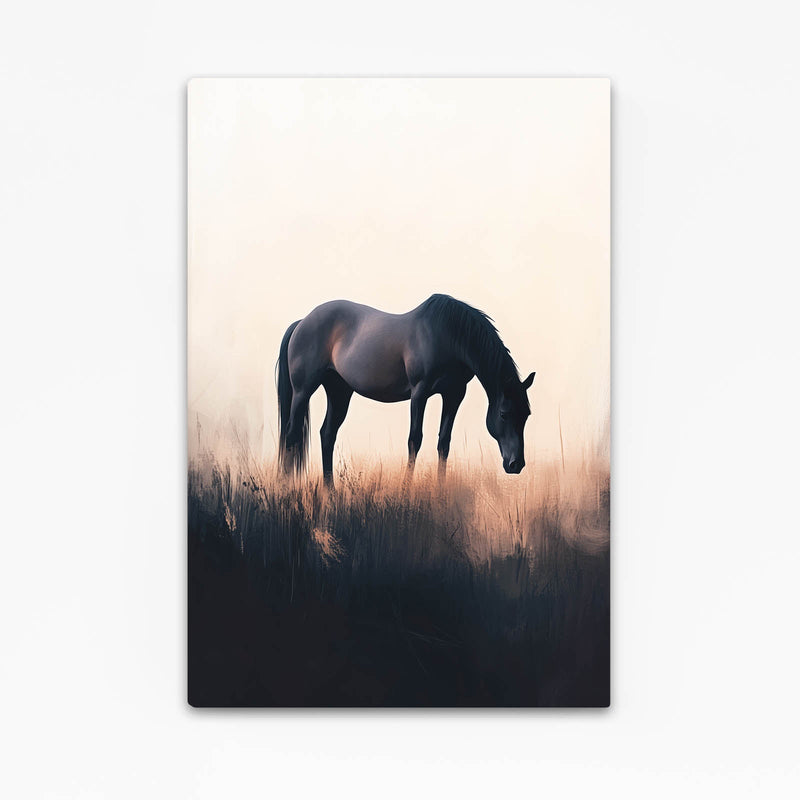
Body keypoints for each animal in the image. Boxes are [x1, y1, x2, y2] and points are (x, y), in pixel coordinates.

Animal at [276, 293, 535, 485]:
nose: (516, 464)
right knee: (292, 433)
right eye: (504, 414)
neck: (447, 336)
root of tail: (302, 322)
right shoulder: (419, 393)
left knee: (327, 434)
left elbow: (444, 443)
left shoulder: (454, 394)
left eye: (526, 415)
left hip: (339, 391)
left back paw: (330, 492)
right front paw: (406, 491)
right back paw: (287, 489)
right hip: (303, 390)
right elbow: (414, 440)